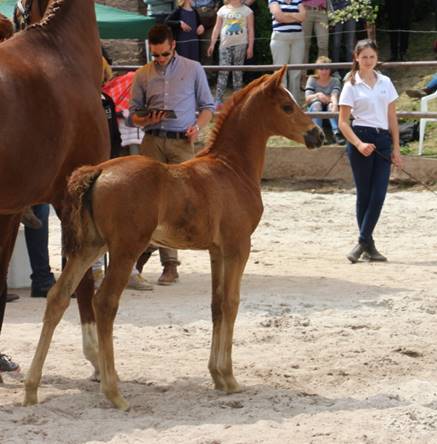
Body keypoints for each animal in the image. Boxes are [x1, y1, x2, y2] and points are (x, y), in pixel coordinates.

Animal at [24, 66, 324, 410]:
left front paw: (217, 375)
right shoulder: (238, 247)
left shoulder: (216, 251)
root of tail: (97, 171)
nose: (317, 135)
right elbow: (232, 303)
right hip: (125, 250)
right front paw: (230, 378)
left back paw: (31, 388)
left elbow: (216, 305)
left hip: (89, 247)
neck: (231, 169)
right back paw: (114, 393)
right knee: (105, 302)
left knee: (58, 297)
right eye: (287, 107)